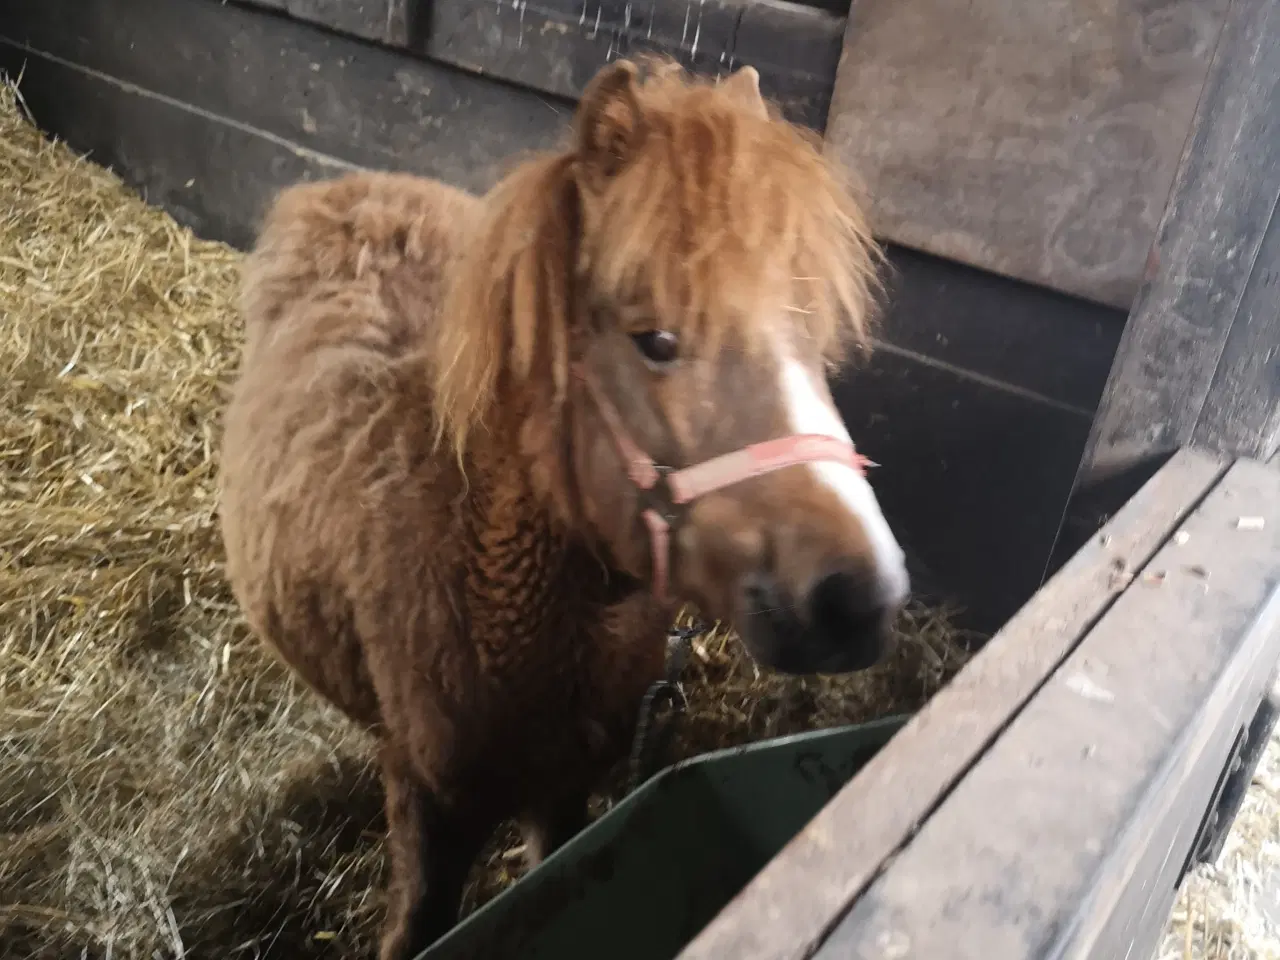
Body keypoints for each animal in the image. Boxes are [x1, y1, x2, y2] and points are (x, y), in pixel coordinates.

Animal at [217, 57, 910, 960]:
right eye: (656, 340)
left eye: (810, 334)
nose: (859, 597)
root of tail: (349, 190)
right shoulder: (429, 806)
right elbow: (417, 927)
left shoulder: (569, 787)